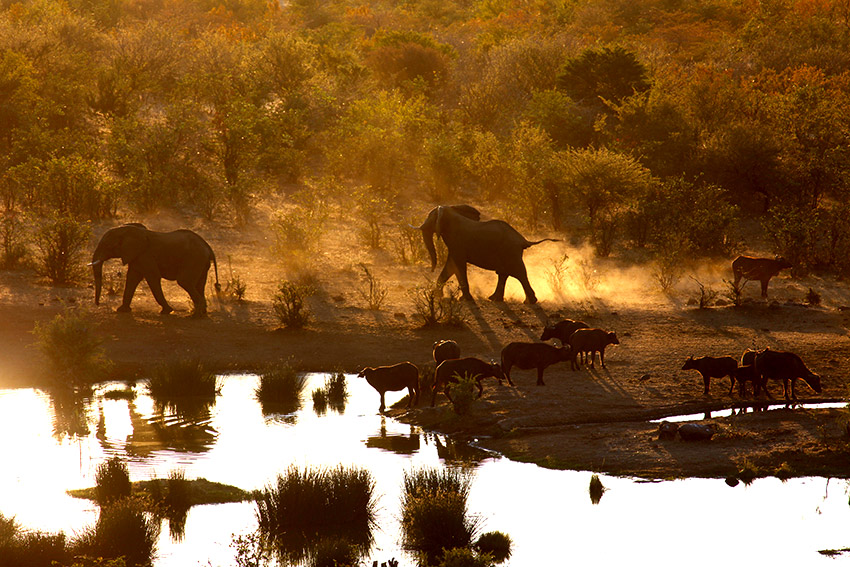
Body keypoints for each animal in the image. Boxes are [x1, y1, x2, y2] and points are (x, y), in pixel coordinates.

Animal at [90, 223, 220, 320]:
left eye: (107, 245)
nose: (98, 304)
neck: (128, 230)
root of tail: (208, 247)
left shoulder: (145, 255)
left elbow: (152, 277)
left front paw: (167, 311)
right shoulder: (136, 256)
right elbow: (132, 278)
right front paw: (122, 310)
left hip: (194, 259)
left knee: (185, 282)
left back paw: (194, 316)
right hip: (201, 263)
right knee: (199, 285)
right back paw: (202, 313)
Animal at [418, 205, 556, 304]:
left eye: (430, 218)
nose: (431, 270)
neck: (450, 211)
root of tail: (523, 240)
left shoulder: (458, 243)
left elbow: (457, 266)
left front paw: (465, 299)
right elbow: (451, 266)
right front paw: (437, 296)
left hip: (511, 252)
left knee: (519, 273)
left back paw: (529, 302)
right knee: (504, 274)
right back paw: (495, 299)